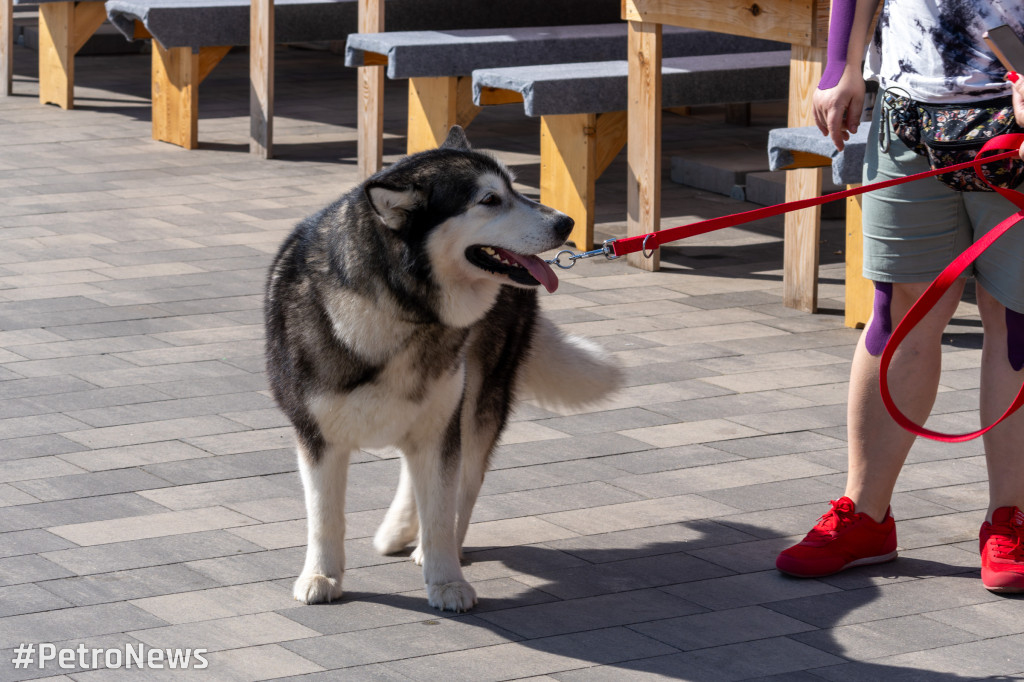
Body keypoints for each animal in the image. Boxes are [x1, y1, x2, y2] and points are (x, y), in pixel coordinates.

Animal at [264, 127, 618, 610]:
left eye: (513, 188)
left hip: (477, 401)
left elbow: (440, 508)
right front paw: (321, 576)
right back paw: (397, 529)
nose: (567, 223)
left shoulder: (442, 427)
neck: (403, 311)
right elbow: (324, 516)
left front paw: (446, 579)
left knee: (464, 483)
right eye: (490, 199)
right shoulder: (317, 435)